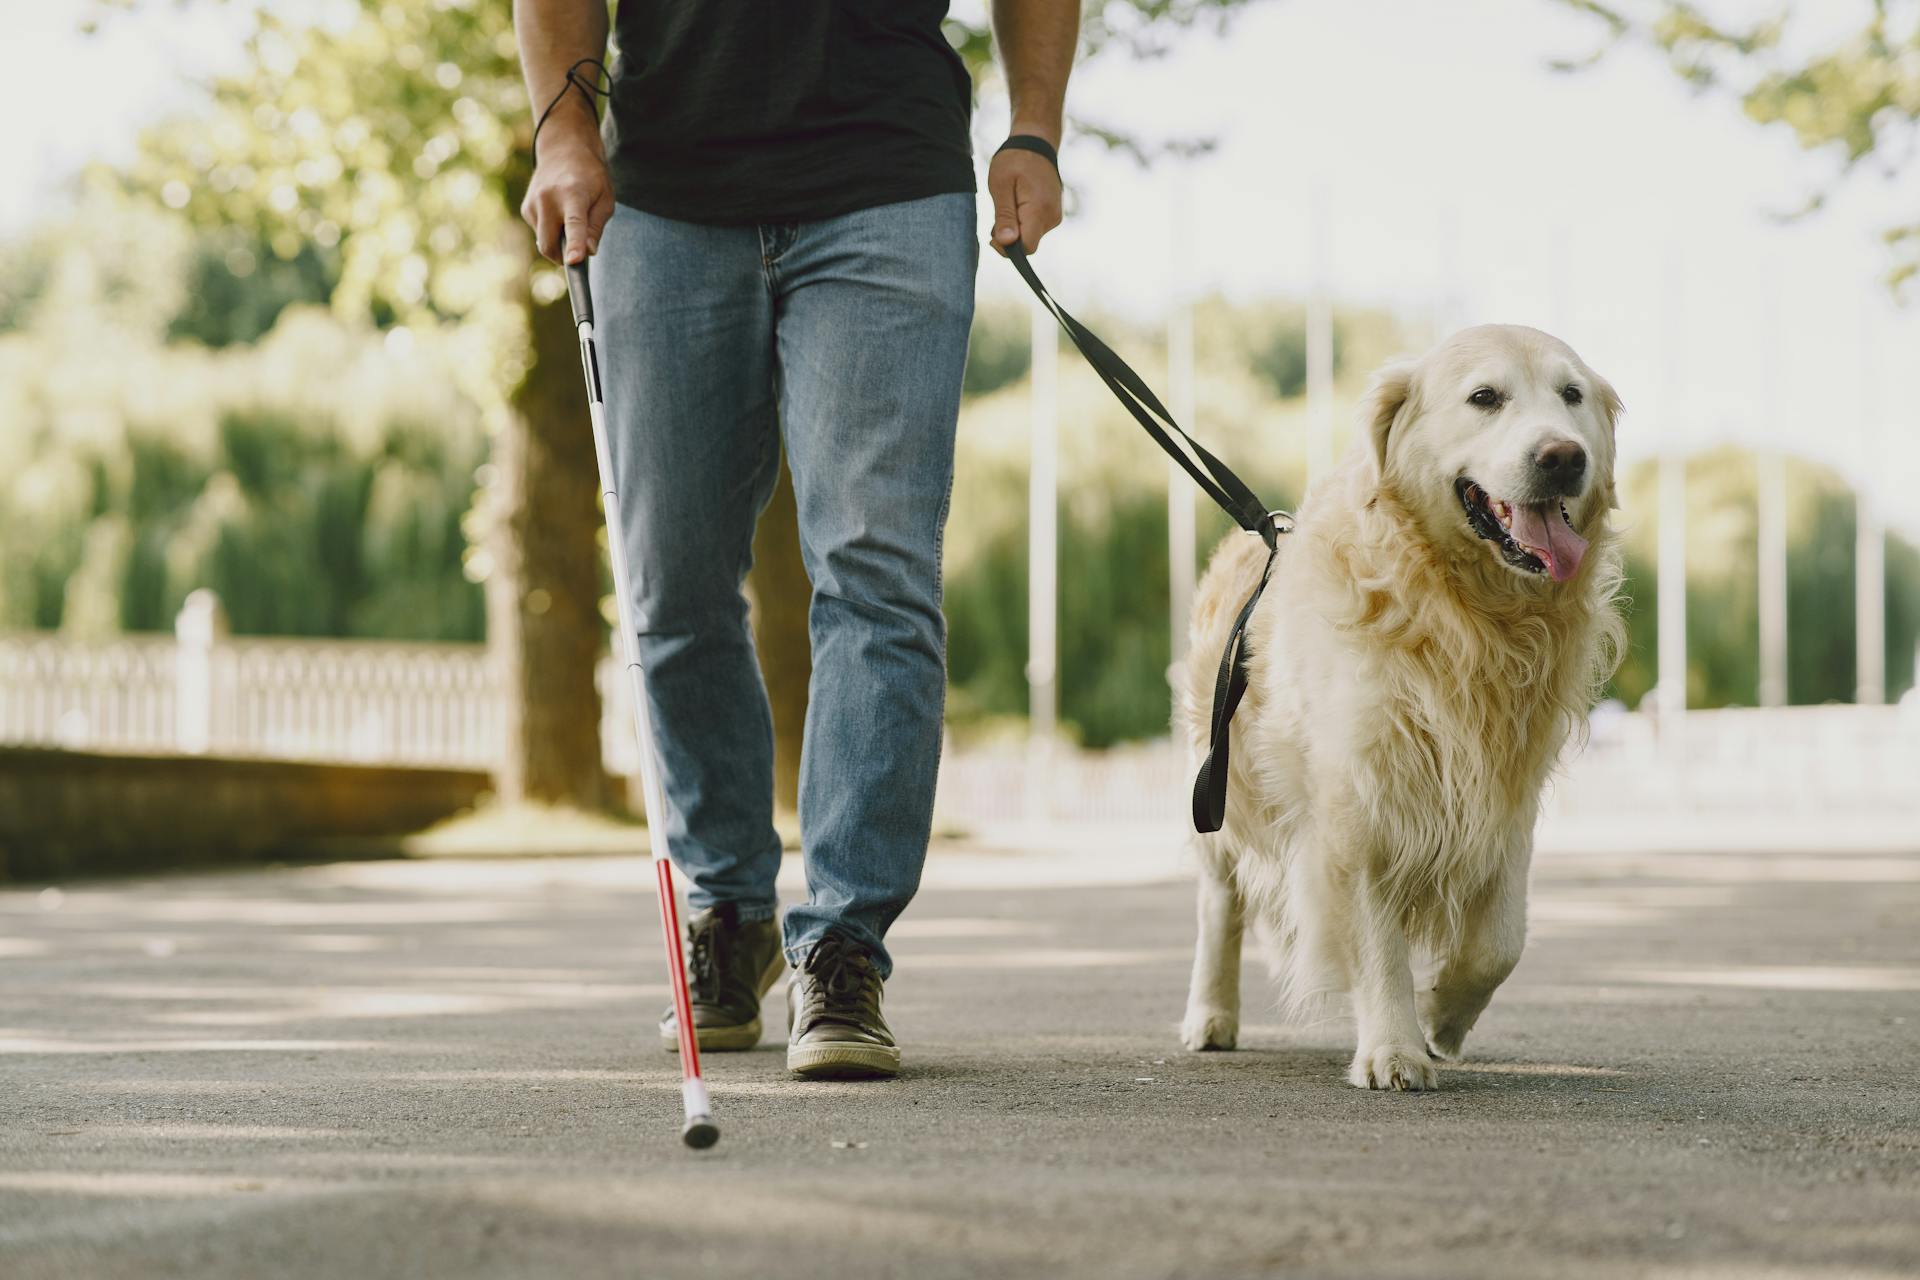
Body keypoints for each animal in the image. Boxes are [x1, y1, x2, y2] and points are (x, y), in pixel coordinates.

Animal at [1175, 322, 1628, 1090]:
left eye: (1571, 395)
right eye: (1485, 397)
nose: (1564, 456)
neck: (1465, 611)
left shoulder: (1508, 794)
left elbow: (1502, 940)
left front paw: (1444, 1014)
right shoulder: (1356, 798)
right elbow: (1374, 937)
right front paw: (1393, 1048)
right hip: (1225, 789)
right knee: (1218, 904)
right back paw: (1210, 1016)